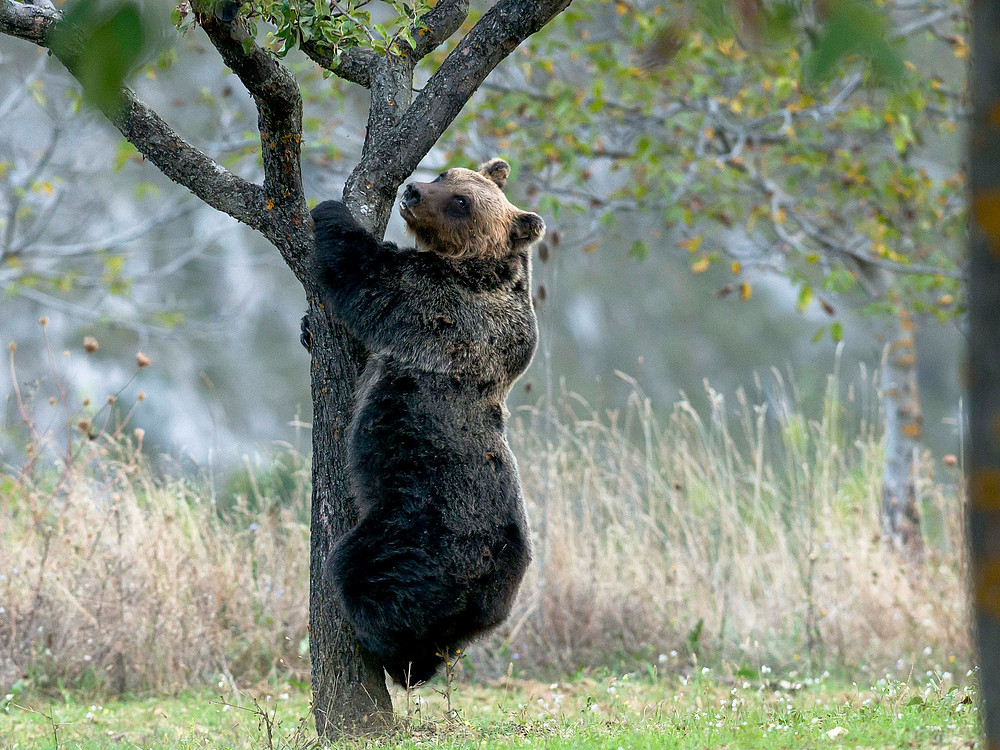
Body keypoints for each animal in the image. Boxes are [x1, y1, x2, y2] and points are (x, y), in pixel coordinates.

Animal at [312, 159, 548, 688]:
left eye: (462, 202)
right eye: (447, 174)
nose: (414, 190)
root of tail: (484, 584)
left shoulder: (443, 304)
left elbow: (375, 278)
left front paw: (330, 212)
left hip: (415, 528)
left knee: (366, 573)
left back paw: (383, 650)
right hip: (482, 601)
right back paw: (418, 664)